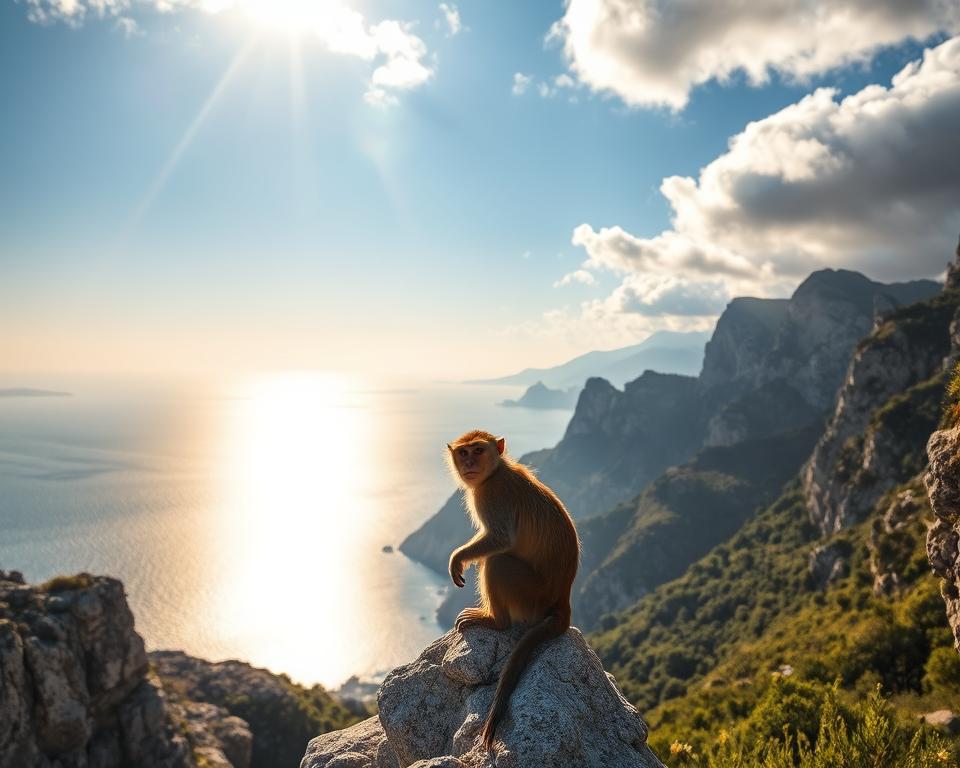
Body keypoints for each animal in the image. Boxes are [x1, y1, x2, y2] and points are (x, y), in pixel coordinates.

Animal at [446, 429, 580, 751]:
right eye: (463, 452)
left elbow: (500, 539)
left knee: (497, 562)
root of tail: (562, 600)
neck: (494, 472)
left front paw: (458, 558)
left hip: (530, 596)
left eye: (478, 450)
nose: (468, 463)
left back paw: (495, 620)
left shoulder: (492, 495)